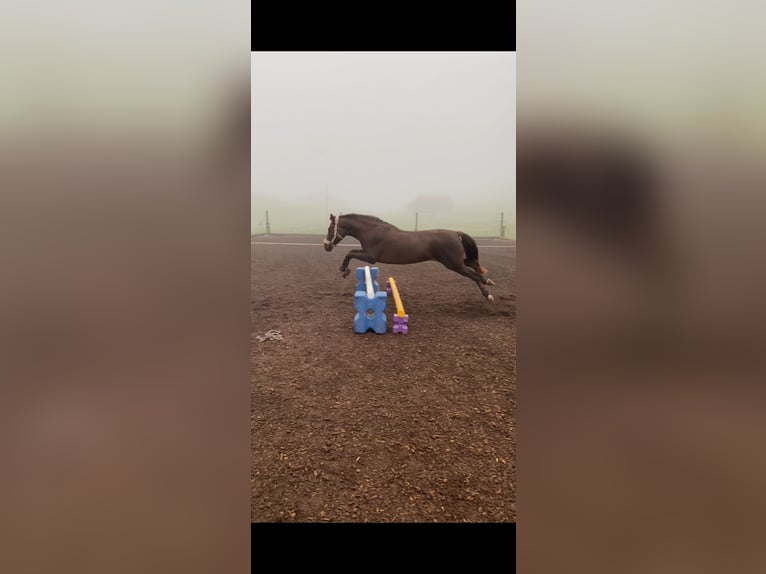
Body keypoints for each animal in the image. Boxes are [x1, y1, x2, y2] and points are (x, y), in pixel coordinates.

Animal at [324, 216, 498, 304]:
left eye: (330, 228)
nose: (326, 246)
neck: (372, 231)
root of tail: (456, 233)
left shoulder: (370, 257)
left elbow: (349, 253)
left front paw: (344, 270)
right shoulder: (366, 253)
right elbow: (351, 252)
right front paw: (344, 269)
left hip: (453, 263)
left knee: (474, 275)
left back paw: (488, 294)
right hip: (456, 261)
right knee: (474, 266)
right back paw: (488, 282)